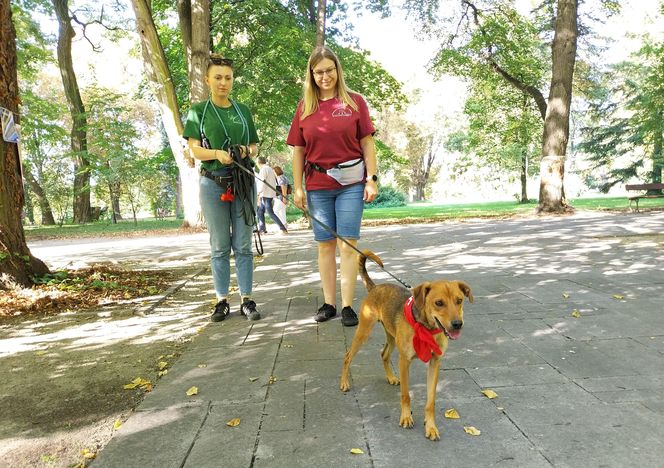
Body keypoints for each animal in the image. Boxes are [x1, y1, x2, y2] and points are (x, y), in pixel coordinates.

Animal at [340, 250, 474, 440]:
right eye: (439, 303)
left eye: (459, 300)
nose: (457, 324)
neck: (425, 327)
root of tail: (375, 287)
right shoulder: (404, 362)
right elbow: (405, 395)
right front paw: (405, 418)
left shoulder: (435, 363)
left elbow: (431, 401)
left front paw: (431, 427)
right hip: (363, 331)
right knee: (347, 356)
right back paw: (344, 383)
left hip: (391, 336)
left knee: (384, 354)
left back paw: (390, 377)